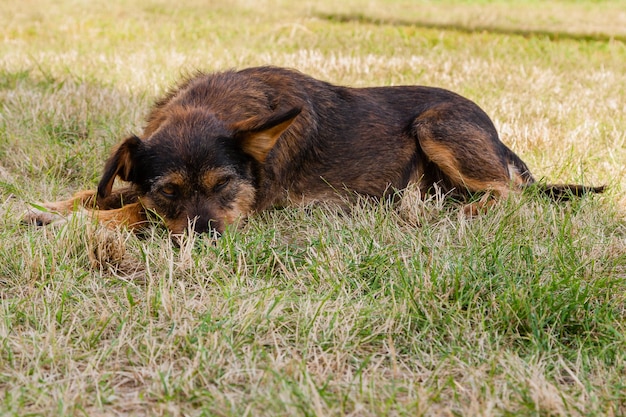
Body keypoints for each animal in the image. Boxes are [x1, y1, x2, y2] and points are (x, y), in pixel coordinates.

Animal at [23, 65, 600, 234]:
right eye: (170, 190)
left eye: (225, 184)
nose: (206, 236)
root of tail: (499, 136)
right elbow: (104, 192)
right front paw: (52, 205)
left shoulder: (248, 208)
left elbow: (132, 212)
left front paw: (72, 221)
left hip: (437, 125)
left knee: (510, 192)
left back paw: (460, 212)